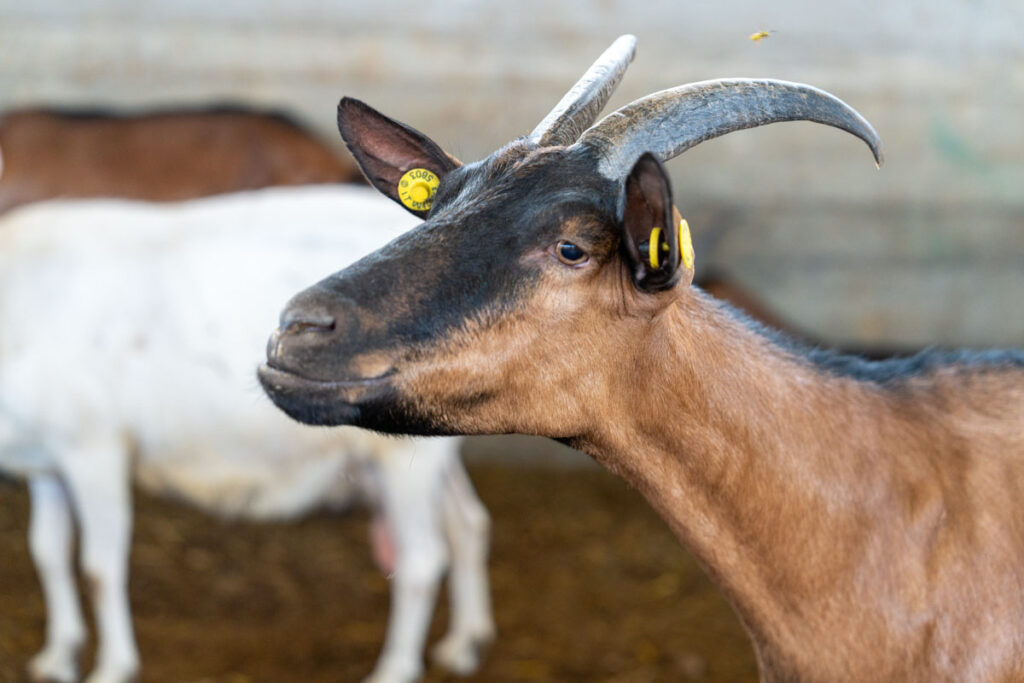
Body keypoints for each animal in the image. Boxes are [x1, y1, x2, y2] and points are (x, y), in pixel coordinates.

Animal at [0, 185, 494, 683]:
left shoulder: (94, 448)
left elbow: (99, 569)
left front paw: (112, 667)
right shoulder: (46, 464)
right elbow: (48, 553)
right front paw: (57, 655)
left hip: (403, 459)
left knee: (422, 561)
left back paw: (394, 669)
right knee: (467, 524)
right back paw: (464, 643)